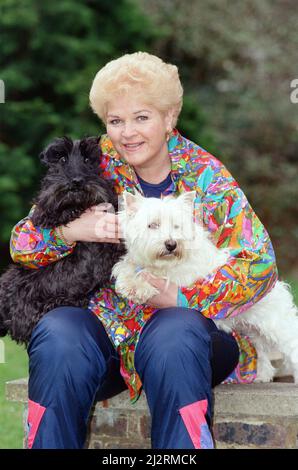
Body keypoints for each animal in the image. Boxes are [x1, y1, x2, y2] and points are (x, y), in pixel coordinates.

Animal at [112, 189, 298, 384]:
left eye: (177, 226)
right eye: (152, 225)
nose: (171, 244)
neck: (165, 261)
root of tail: (275, 284)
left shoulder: (181, 276)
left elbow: (155, 275)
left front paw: (139, 287)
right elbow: (128, 266)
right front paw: (127, 281)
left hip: (276, 323)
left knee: (292, 345)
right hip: (252, 330)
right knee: (261, 351)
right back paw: (262, 375)